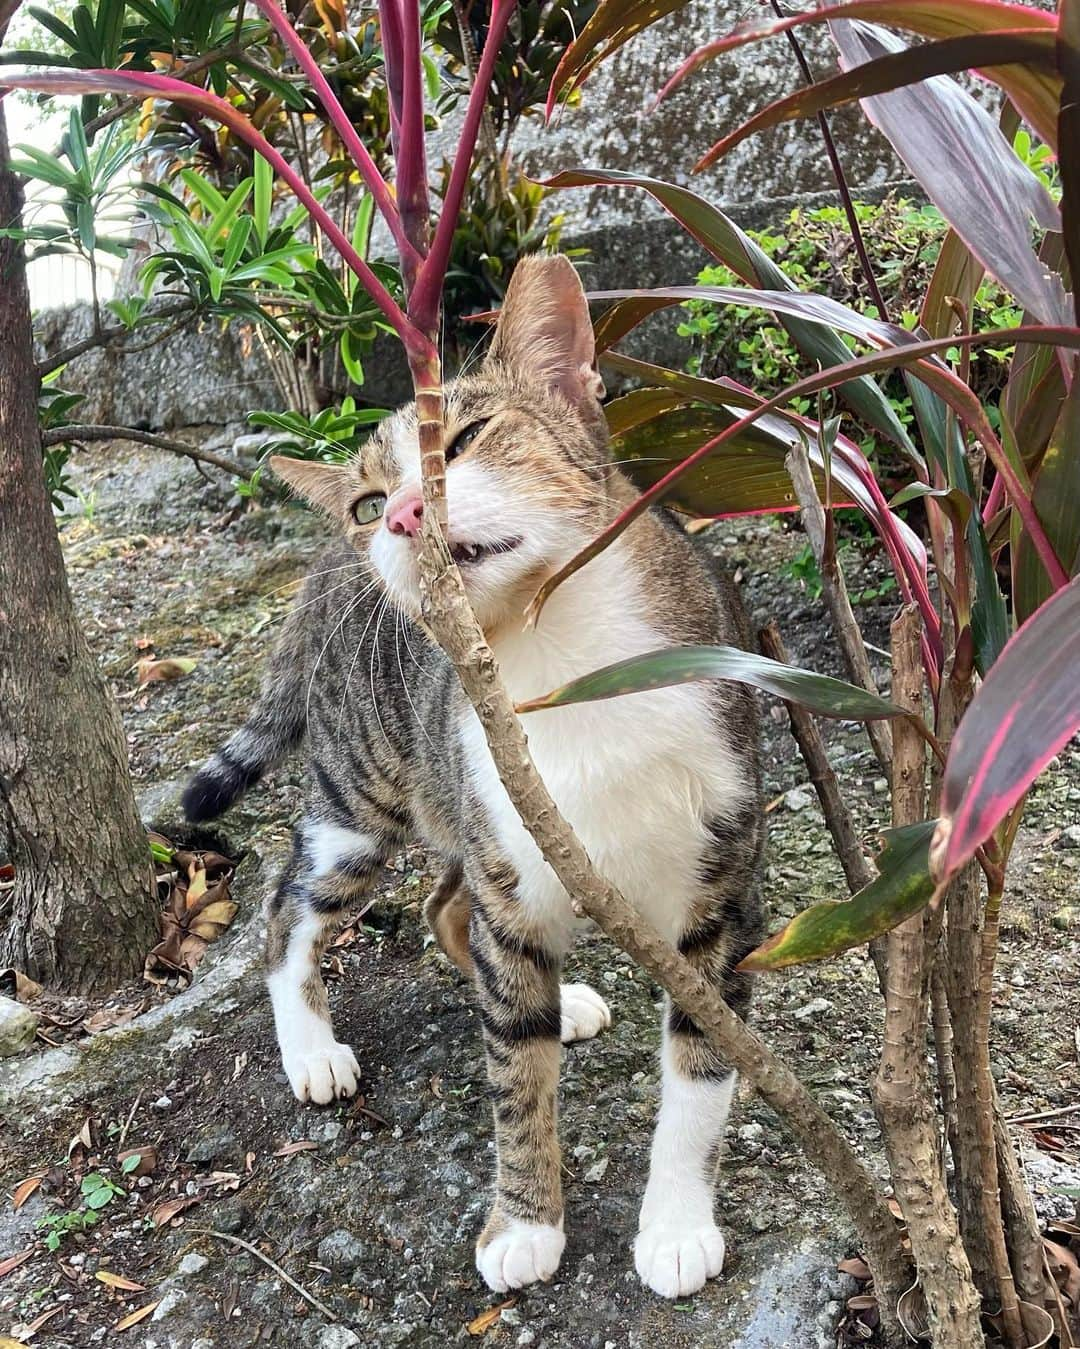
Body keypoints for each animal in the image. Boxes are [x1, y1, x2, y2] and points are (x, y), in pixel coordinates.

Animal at [183, 253, 765, 1295]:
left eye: (465, 437)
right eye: (368, 501)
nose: (399, 513)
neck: (560, 665)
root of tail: (320, 566)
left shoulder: (722, 890)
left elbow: (702, 1063)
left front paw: (673, 1223)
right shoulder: (510, 857)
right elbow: (513, 1073)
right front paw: (524, 1220)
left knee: (449, 908)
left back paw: (557, 998)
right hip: (368, 800)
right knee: (287, 909)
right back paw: (313, 1047)